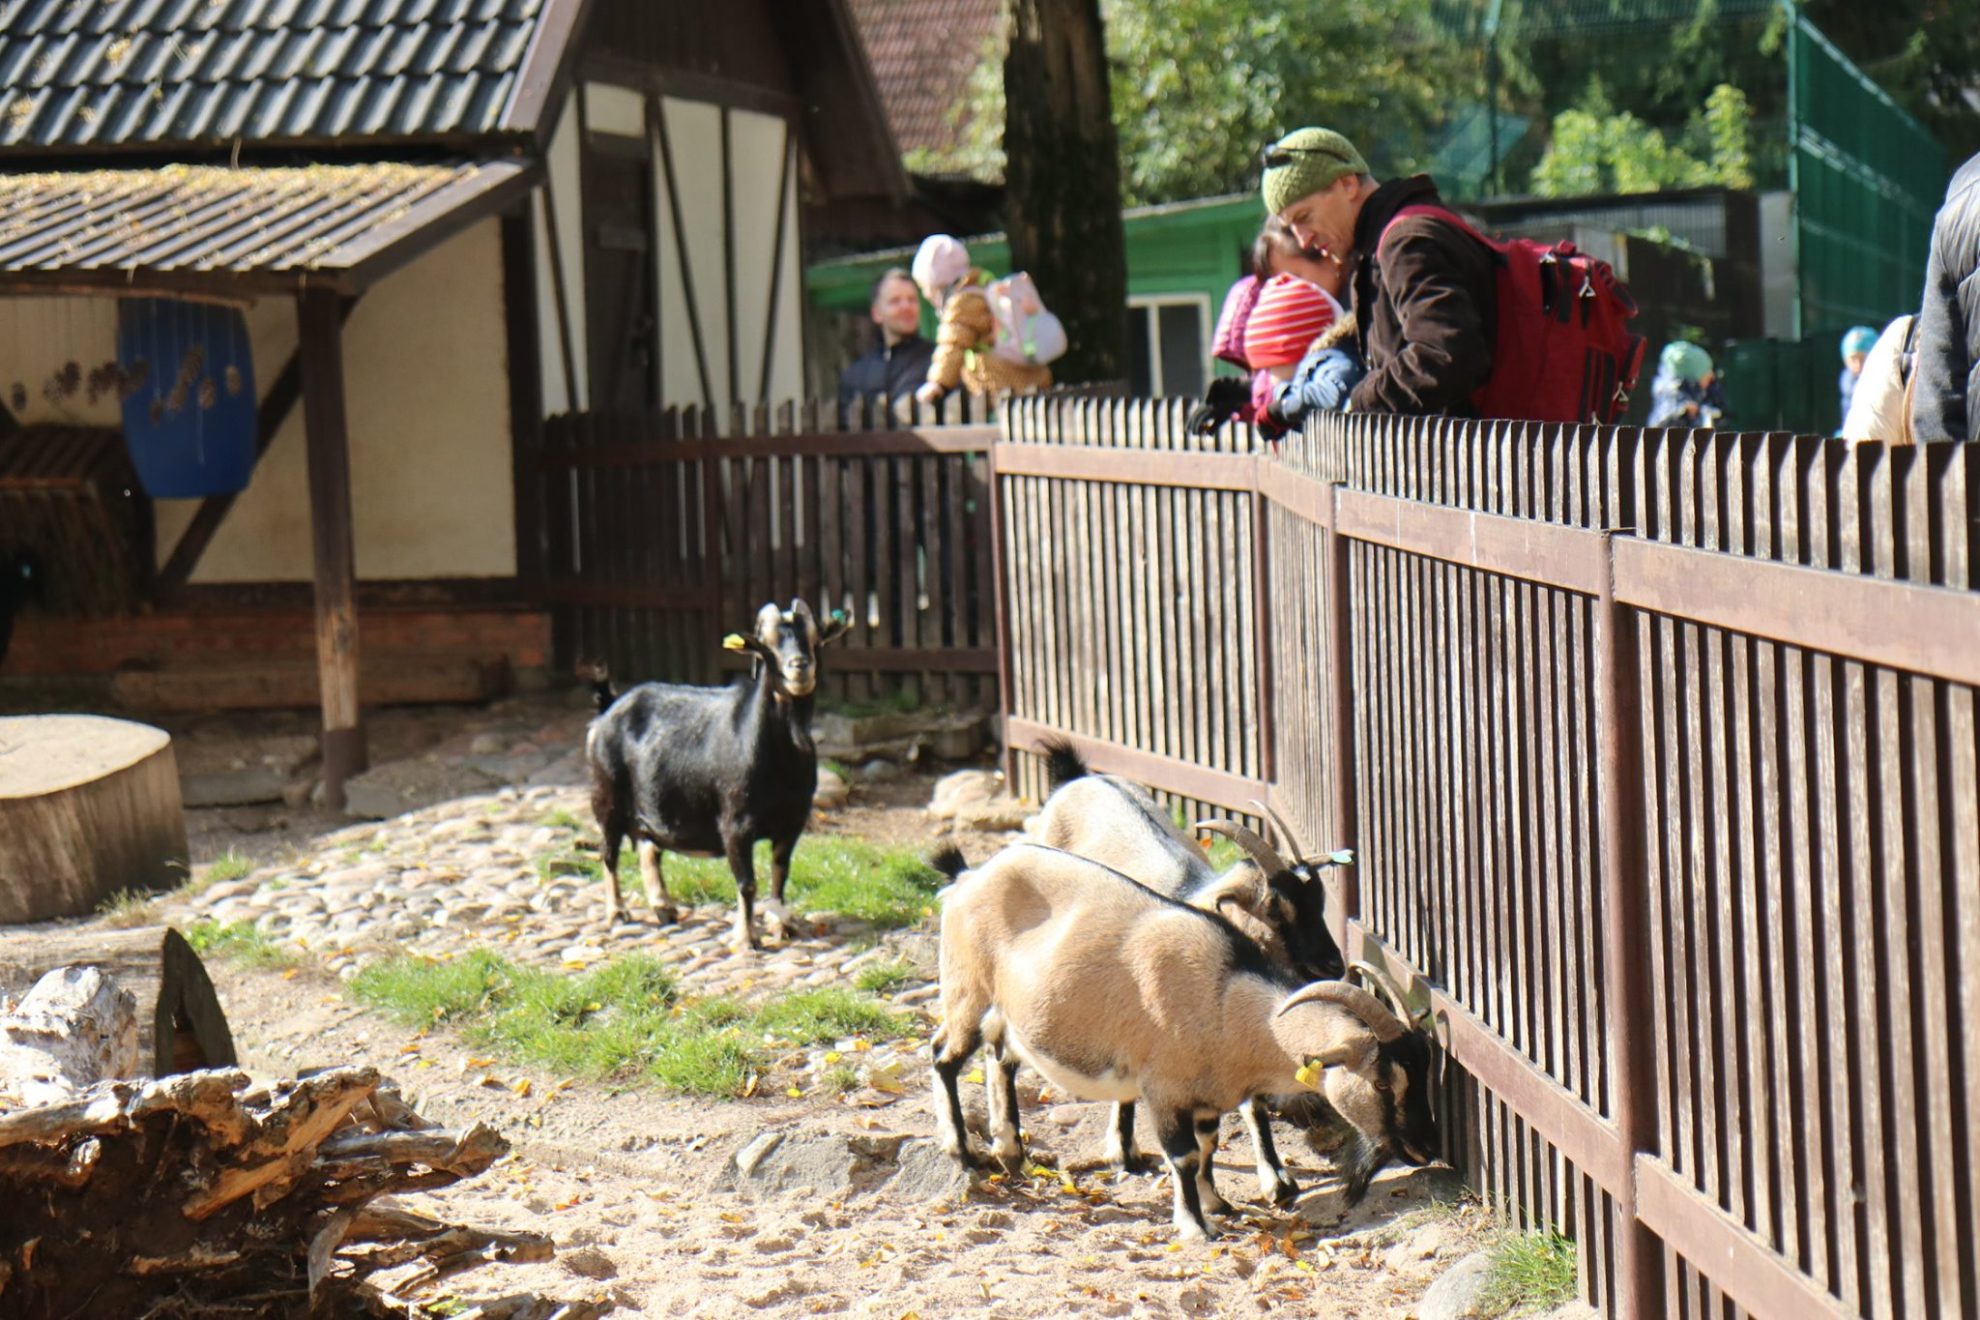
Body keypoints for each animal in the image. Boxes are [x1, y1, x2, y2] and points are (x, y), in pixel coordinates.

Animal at [578, 605, 843, 953]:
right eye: (765, 646)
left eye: (815, 639)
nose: (799, 666)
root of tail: (609, 705)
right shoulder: (735, 824)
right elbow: (747, 883)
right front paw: (746, 938)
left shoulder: (792, 823)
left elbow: (780, 874)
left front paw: (780, 924)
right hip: (605, 797)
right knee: (608, 852)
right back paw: (618, 912)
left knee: (649, 848)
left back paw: (663, 905)